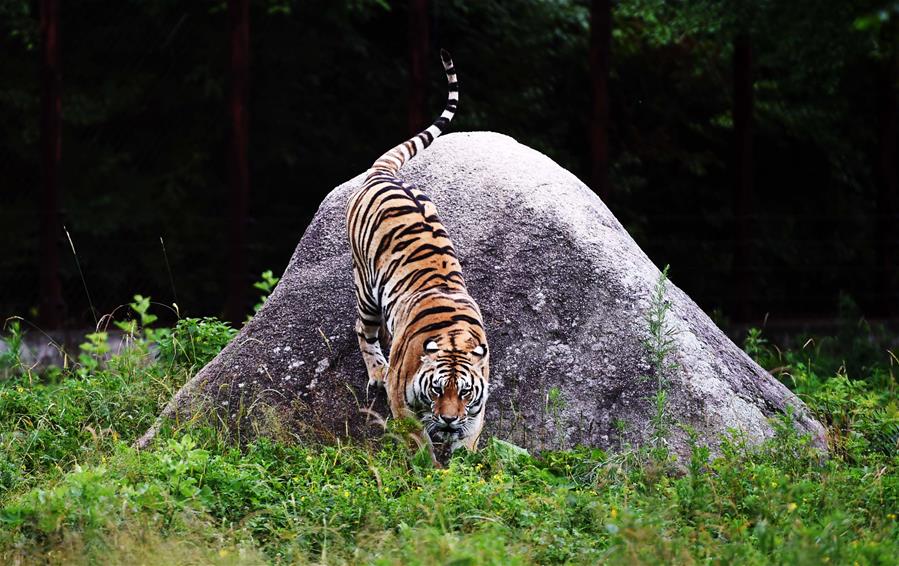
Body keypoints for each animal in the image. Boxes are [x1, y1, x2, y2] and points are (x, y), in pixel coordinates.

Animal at [346, 48, 492, 458]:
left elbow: (468, 445)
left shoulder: (477, 411)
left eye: (465, 392)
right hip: (366, 287)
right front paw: (426, 466)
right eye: (437, 389)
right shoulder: (403, 398)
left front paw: (463, 468)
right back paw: (376, 371)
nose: (448, 419)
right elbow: (418, 442)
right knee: (363, 330)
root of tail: (383, 175)